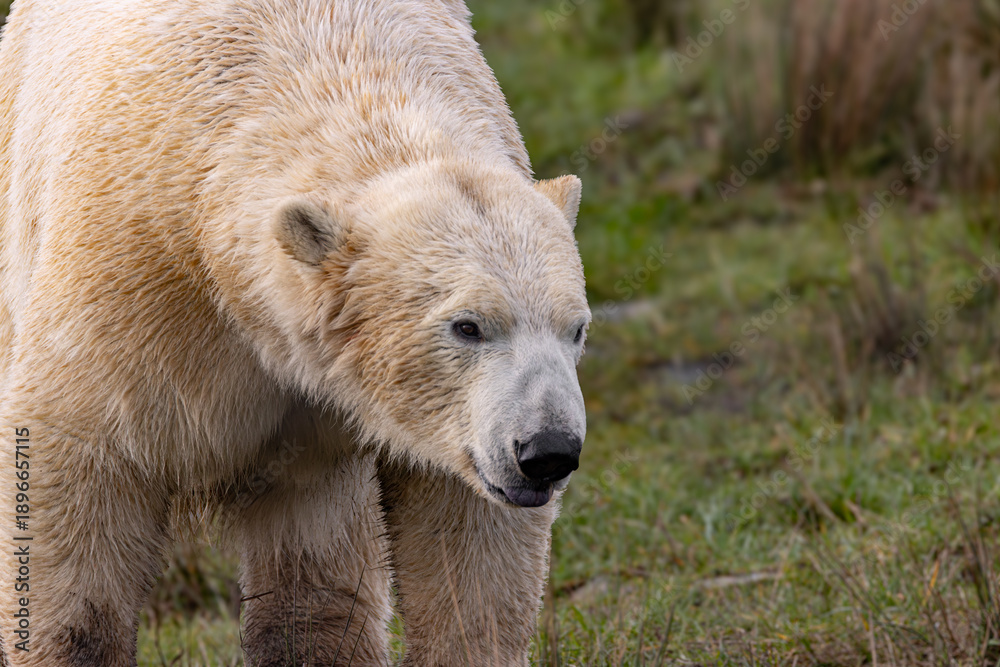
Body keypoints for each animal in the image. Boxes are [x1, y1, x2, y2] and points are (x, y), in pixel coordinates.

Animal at [0, 0, 589, 665]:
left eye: (576, 329)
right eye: (467, 326)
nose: (548, 451)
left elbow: (467, 532)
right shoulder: (135, 273)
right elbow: (80, 461)